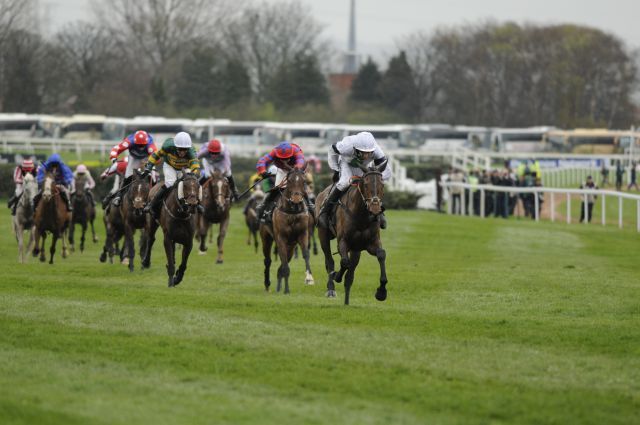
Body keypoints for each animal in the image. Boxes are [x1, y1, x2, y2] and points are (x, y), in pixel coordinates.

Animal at [316, 162, 390, 304]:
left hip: (356, 249)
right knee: (330, 261)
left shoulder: (371, 243)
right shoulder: (343, 242)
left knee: (350, 273)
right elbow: (344, 262)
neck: (361, 216)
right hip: (323, 235)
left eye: (382, 184)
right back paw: (331, 289)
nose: (375, 209)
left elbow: (381, 254)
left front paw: (381, 292)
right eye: (365, 184)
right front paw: (337, 276)